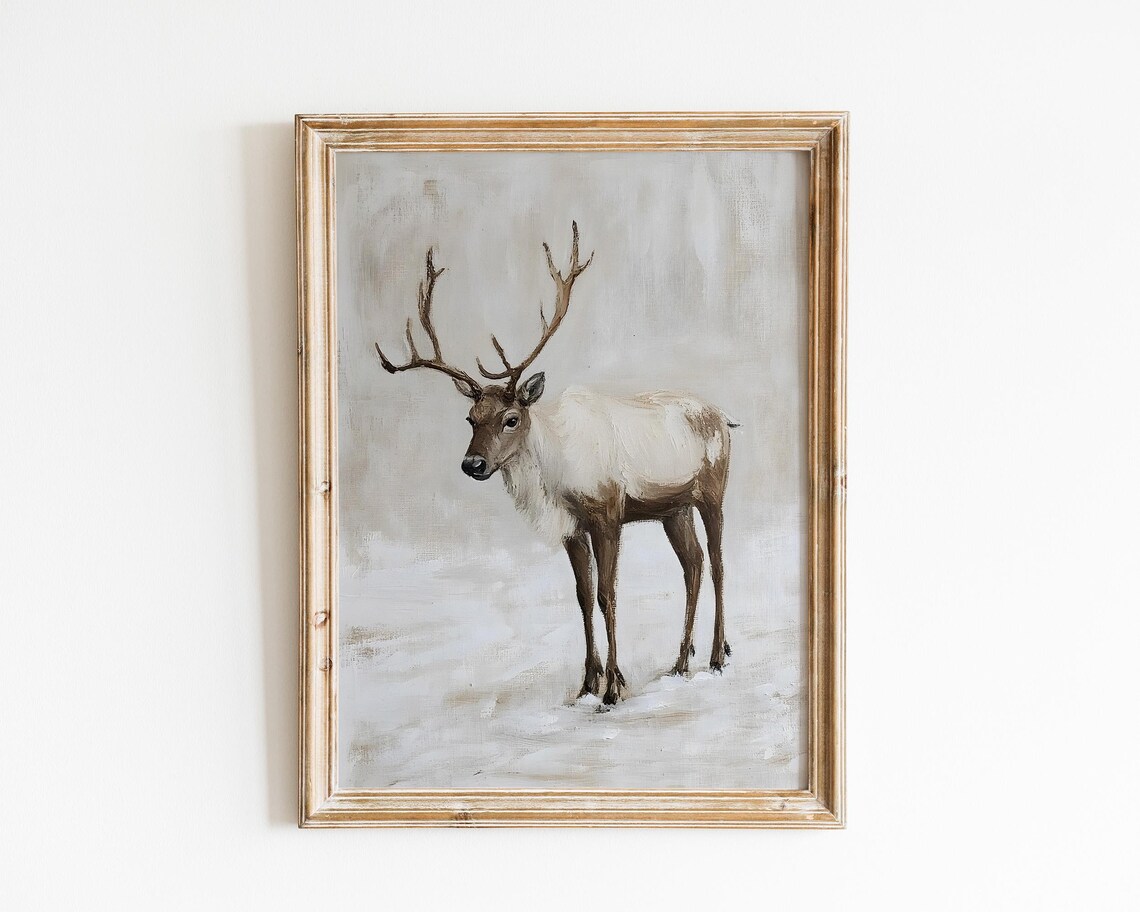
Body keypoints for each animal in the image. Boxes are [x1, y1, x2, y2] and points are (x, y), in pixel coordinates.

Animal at [374, 223, 737, 705]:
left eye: (511, 418)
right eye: (471, 418)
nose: (473, 463)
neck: (556, 482)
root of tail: (725, 416)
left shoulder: (608, 513)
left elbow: (607, 595)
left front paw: (613, 688)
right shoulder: (571, 527)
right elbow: (582, 596)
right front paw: (587, 684)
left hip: (712, 491)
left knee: (717, 563)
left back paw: (716, 655)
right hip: (673, 509)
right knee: (692, 565)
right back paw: (680, 663)